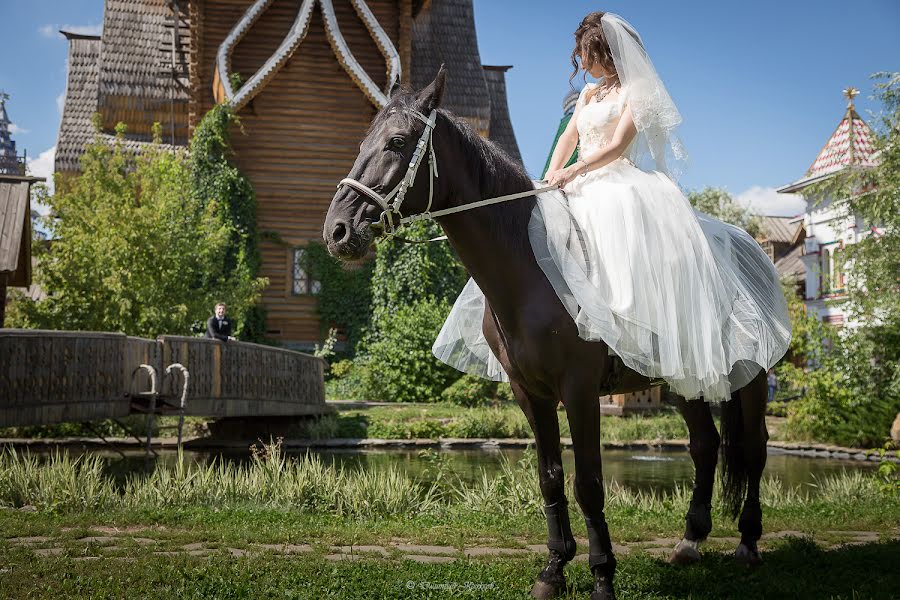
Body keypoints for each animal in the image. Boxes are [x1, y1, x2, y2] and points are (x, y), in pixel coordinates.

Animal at [324, 68, 768, 600]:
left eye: (396, 142)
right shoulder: (529, 393)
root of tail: (749, 244)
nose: (337, 230)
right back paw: (689, 542)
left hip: (752, 378)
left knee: (754, 449)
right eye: (362, 141)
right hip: (685, 379)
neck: (529, 268)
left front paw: (602, 576)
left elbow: (589, 484)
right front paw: (554, 568)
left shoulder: (578, 390)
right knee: (705, 445)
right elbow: (551, 478)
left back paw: (748, 543)